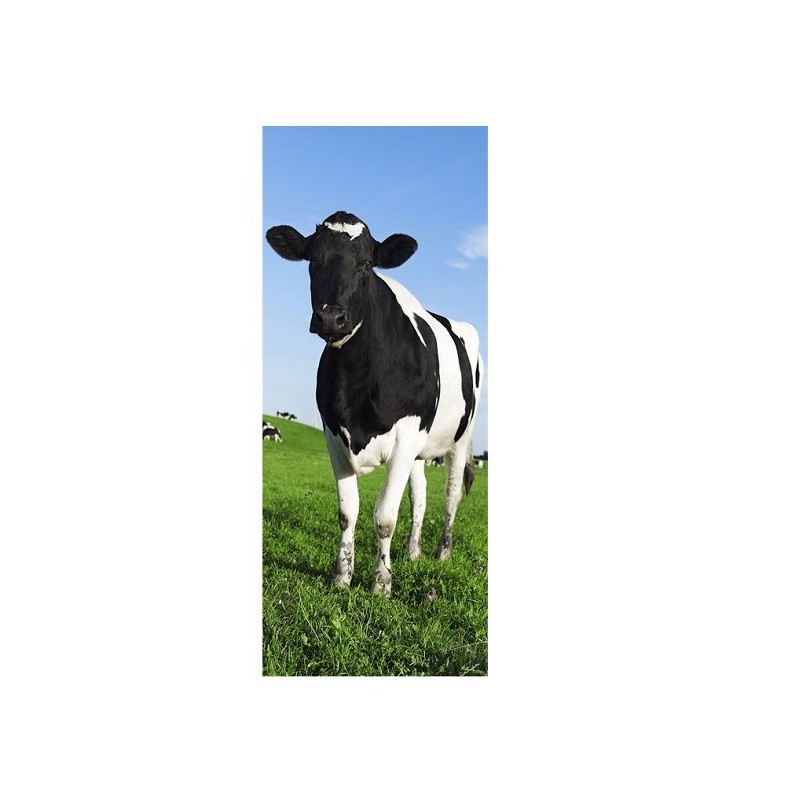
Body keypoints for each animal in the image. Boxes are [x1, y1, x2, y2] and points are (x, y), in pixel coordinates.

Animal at [265, 210, 483, 596]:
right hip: (420, 449)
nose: (330, 318)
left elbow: (384, 517)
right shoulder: (333, 435)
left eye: (366, 264)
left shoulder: (406, 435)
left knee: (451, 495)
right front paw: (341, 576)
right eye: (312, 260)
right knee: (420, 495)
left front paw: (381, 582)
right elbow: (347, 512)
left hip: (460, 438)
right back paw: (413, 552)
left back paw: (442, 553)